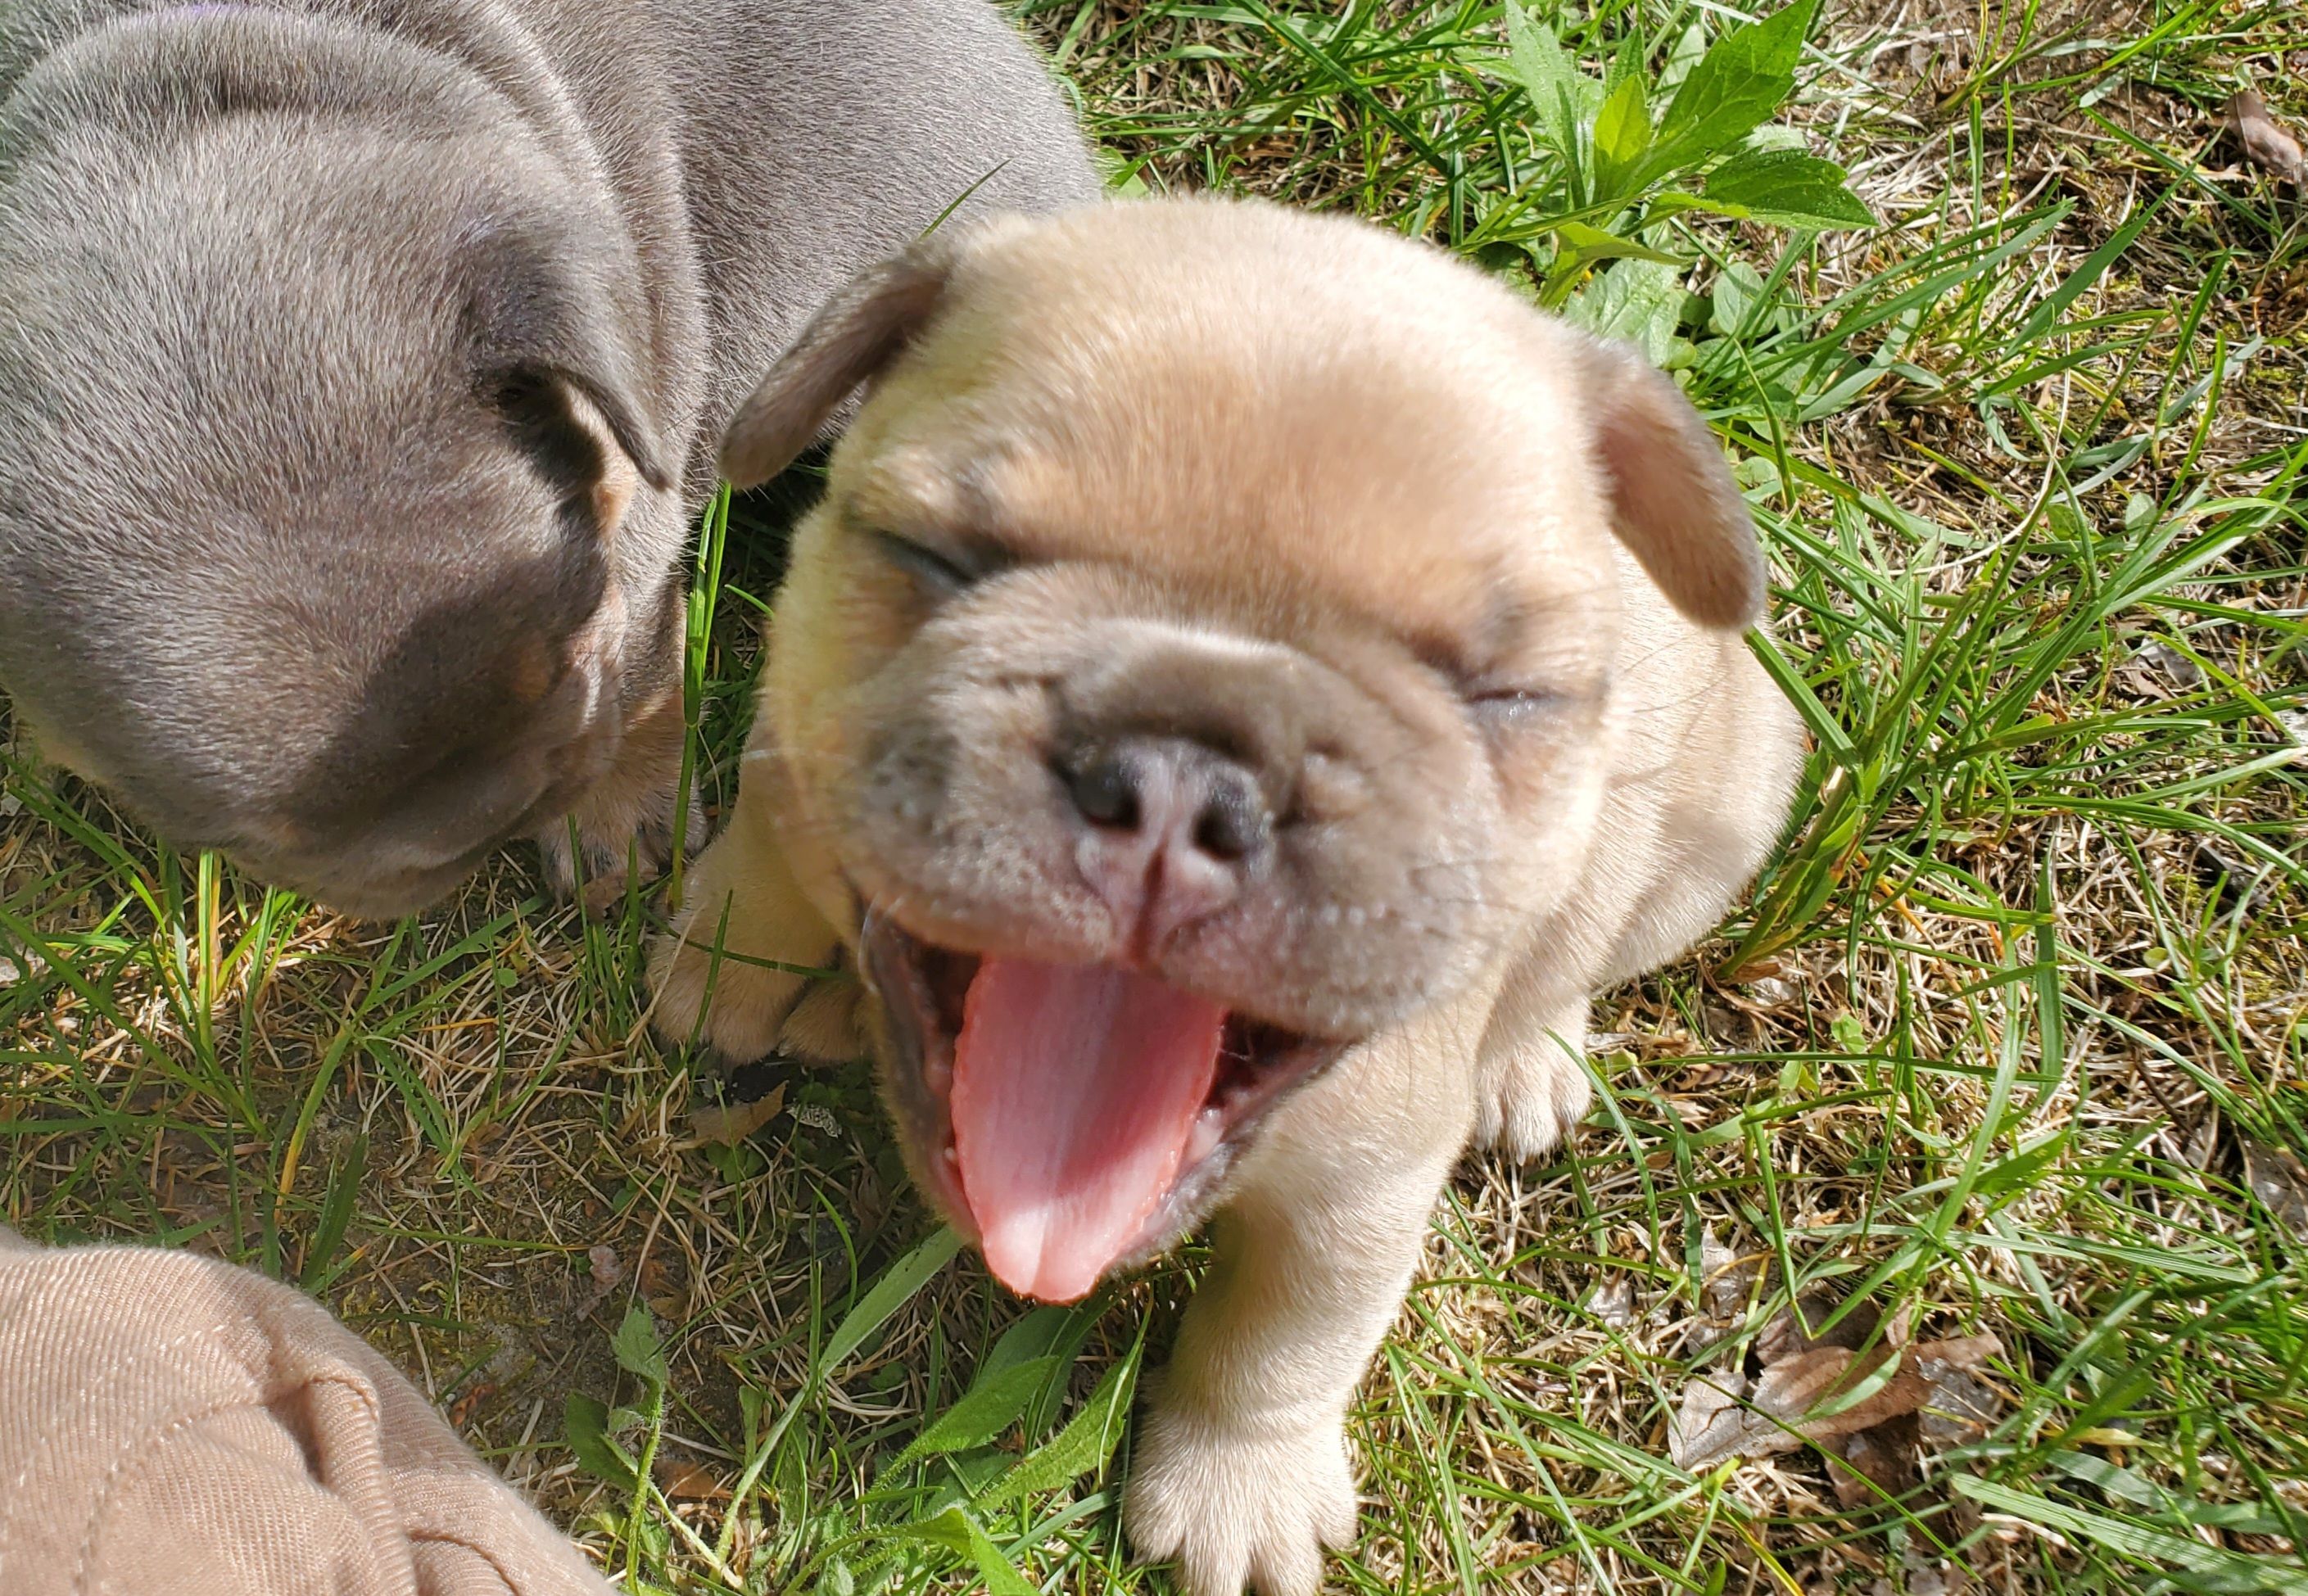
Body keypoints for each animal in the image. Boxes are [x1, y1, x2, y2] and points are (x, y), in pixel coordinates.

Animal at [0, 0, 1093, 917]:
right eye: (253, 835)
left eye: (575, 649)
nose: (491, 820)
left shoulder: (640, 510)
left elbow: (646, 670)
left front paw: (620, 810)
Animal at [650, 199, 1800, 1596]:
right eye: (936, 558)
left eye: (1503, 694)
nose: (1182, 773)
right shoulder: (788, 739)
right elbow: (770, 842)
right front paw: (731, 957)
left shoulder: (1359, 1195)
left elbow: (1283, 1341)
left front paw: (1236, 1490)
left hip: (1720, 820)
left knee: (1584, 946)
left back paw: (1532, 1057)